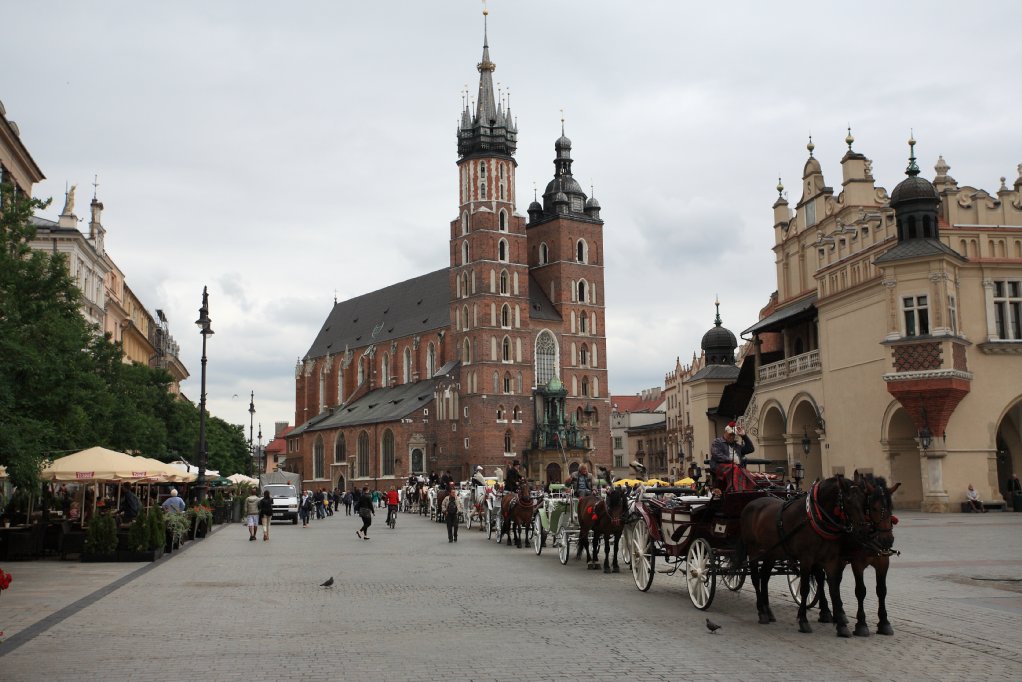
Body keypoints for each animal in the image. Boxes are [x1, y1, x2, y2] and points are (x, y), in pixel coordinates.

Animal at [739, 478, 866, 638]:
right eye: (848, 501)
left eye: (863, 500)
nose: (862, 530)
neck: (814, 517)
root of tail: (751, 504)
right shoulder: (806, 559)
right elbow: (805, 589)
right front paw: (803, 621)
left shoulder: (830, 560)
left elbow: (834, 589)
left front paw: (841, 625)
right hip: (754, 551)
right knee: (756, 578)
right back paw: (761, 612)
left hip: (771, 553)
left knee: (765, 577)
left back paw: (768, 611)